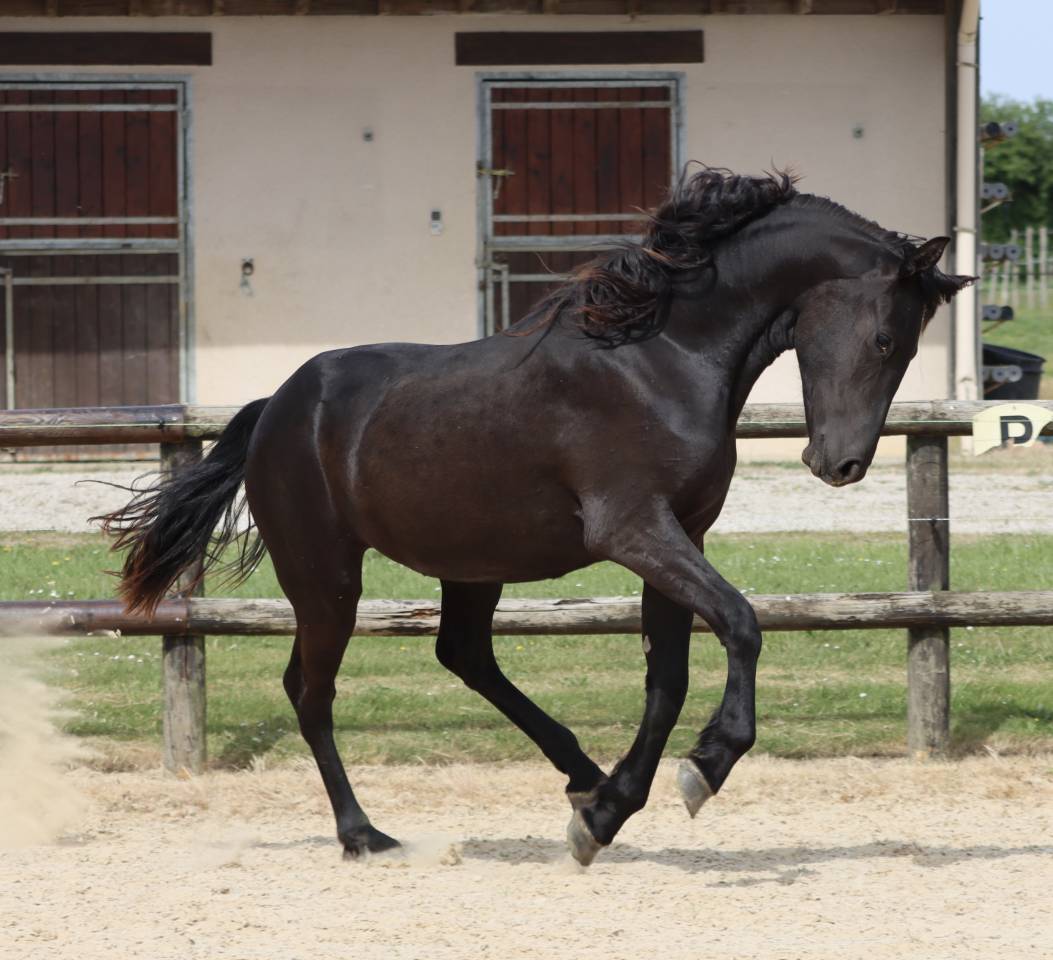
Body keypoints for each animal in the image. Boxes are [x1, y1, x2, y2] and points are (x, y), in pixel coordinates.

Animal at [100, 168, 973, 866]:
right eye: (885, 337)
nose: (840, 464)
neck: (661, 358)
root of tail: (274, 408)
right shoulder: (633, 531)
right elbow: (740, 622)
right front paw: (706, 766)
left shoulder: (678, 535)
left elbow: (667, 679)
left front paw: (607, 814)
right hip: (324, 575)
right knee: (311, 693)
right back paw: (363, 835)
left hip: (469, 563)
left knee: (462, 656)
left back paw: (580, 775)